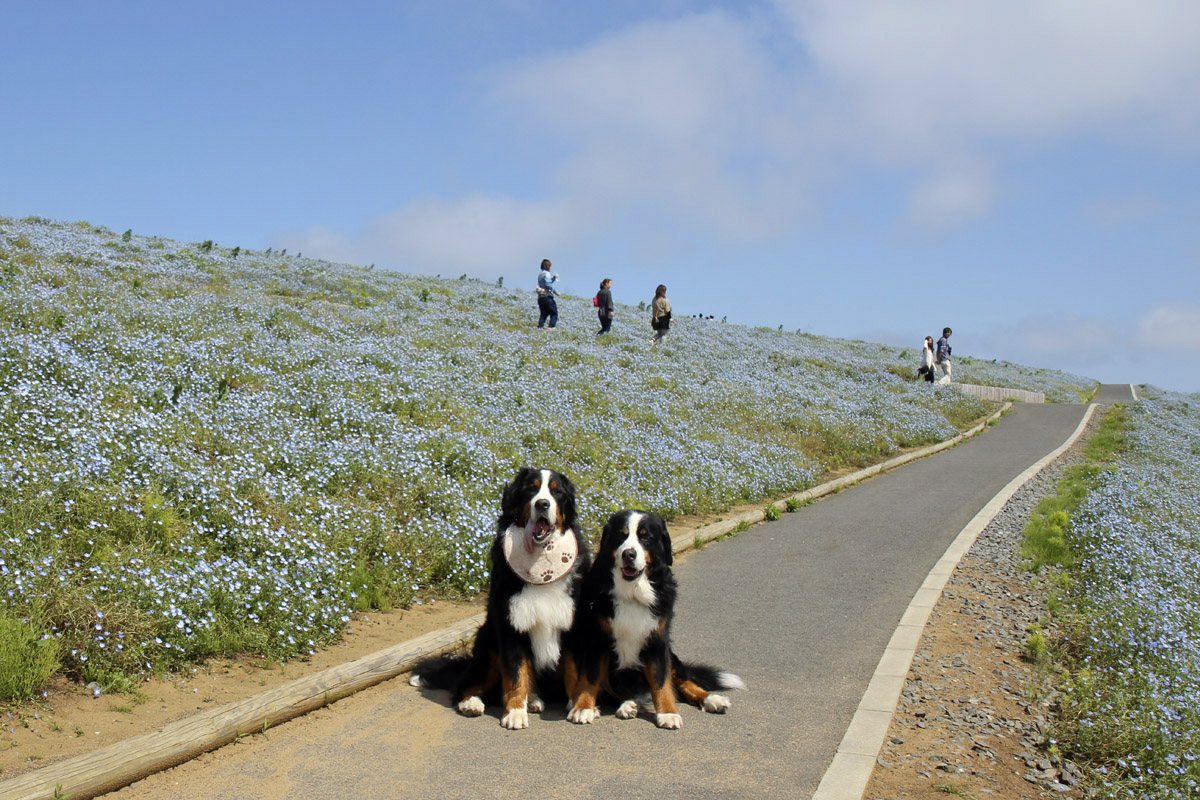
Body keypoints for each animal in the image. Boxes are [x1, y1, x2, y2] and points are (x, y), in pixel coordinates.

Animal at [410, 465, 592, 729]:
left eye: (556, 492)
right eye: (531, 489)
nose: (543, 504)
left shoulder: (571, 624)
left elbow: (572, 670)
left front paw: (578, 705)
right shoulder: (511, 625)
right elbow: (516, 674)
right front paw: (515, 712)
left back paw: (534, 700)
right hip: (488, 647)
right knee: (466, 685)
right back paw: (473, 703)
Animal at [566, 510, 744, 729]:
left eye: (646, 538)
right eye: (621, 536)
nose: (629, 554)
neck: (632, 593)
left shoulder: (658, 641)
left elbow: (661, 682)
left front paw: (667, 713)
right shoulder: (597, 640)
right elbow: (590, 677)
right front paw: (583, 707)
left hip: (672, 656)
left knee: (684, 682)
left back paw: (712, 699)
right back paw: (628, 705)